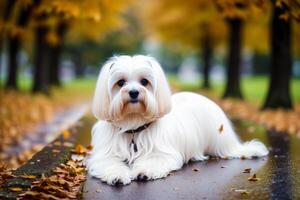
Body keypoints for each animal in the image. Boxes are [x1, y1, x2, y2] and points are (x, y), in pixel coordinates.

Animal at [86, 55, 268, 186]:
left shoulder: (162, 153)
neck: (133, 124)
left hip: (221, 142)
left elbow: (153, 161)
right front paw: (117, 175)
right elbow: (110, 163)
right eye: (120, 82)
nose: (133, 92)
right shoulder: (105, 155)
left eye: (144, 81)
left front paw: (144, 172)